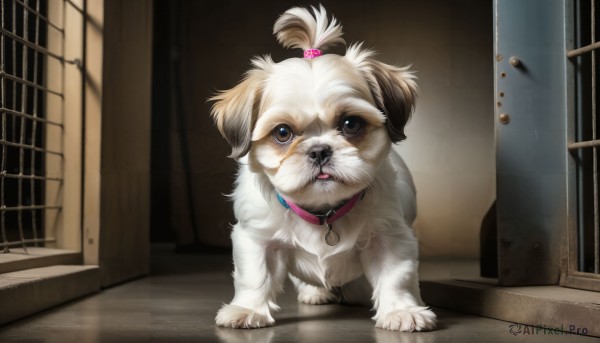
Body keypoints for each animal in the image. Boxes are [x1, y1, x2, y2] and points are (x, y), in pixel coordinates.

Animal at [211, 5, 436, 334]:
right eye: (282, 133)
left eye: (351, 124)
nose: (319, 150)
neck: (323, 211)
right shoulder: (256, 237)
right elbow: (256, 276)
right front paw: (247, 309)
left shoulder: (390, 236)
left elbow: (396, 277)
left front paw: (402, 311)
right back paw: (315, 292)